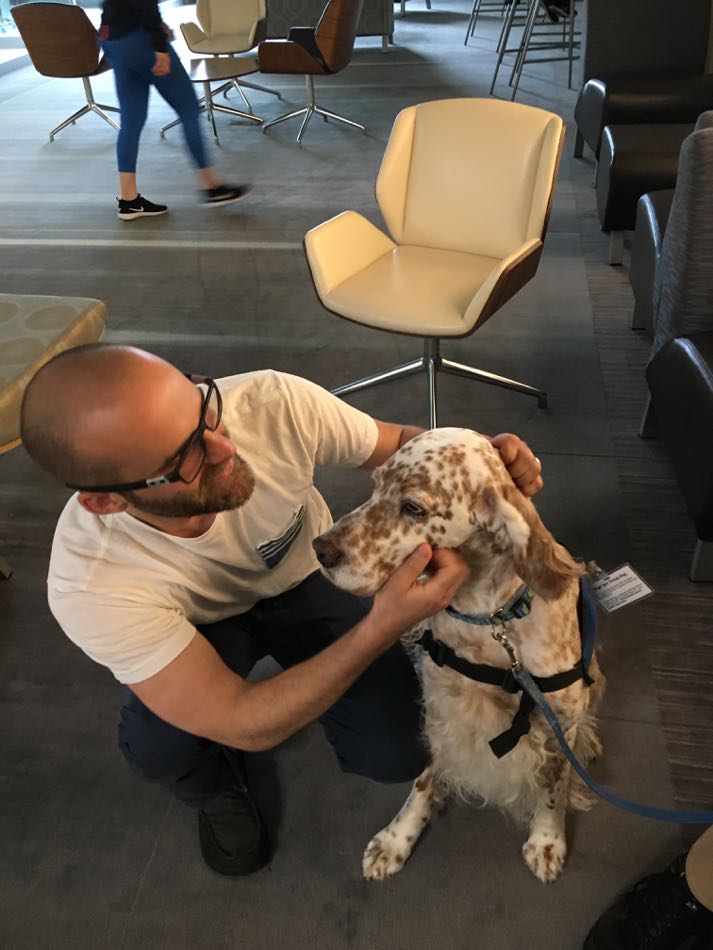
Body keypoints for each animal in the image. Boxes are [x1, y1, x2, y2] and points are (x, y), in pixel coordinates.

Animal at [312, 430, 600, 884]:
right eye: (375, 485)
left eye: (413, 507)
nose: (320, 550)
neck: (490, 620)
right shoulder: (440, 704)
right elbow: (424, 777)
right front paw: (397, 838)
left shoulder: (562, 721)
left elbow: (553, 786)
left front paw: (547, 840)